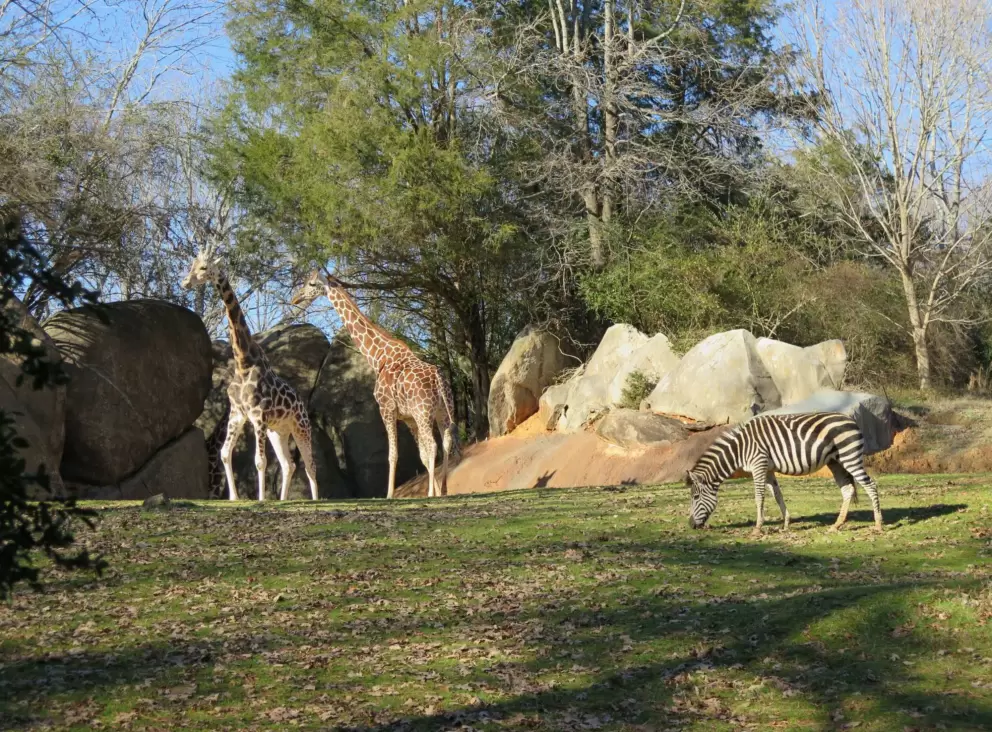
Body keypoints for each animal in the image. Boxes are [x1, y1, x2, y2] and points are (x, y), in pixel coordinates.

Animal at [182, 246, 320, 501]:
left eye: (204, 268)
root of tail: (301, 404)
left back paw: (315, 500)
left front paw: (261, 499)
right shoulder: (238, 413)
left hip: (301, 427)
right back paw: (283, 500)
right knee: (288, 465)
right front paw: (235, 498)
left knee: (310, 465)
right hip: (278, 431)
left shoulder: (258, 415)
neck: (243, 362)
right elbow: (225, 453)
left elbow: (260, 461)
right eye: (191, 266)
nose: (186, 282)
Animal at [291, 269, 459, 498]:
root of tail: (439, 379)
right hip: (442, 410)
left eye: (311, 284)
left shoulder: (386, 409)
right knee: (446, 441)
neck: (379, 356)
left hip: (424, 411)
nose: (296, 298)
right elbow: (421, 455)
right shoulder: (407, 417)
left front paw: (389, 495)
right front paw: (438, 491)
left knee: (434, 445)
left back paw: (432, 494)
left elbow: (393, 454)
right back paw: (444, 490)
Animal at [685, 412, 883, 533]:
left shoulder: (758, 464)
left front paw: (757, 528)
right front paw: (786, 524)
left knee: (871, 485)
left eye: (695, 497)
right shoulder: (768, 469)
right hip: (836, 462)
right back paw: (837, 525)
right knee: (848, 489)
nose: (690, 525)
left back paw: (878, 524)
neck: (740, 449)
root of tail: (852, 420)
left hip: (850, 457)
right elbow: (777, 495)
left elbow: (759, 497)